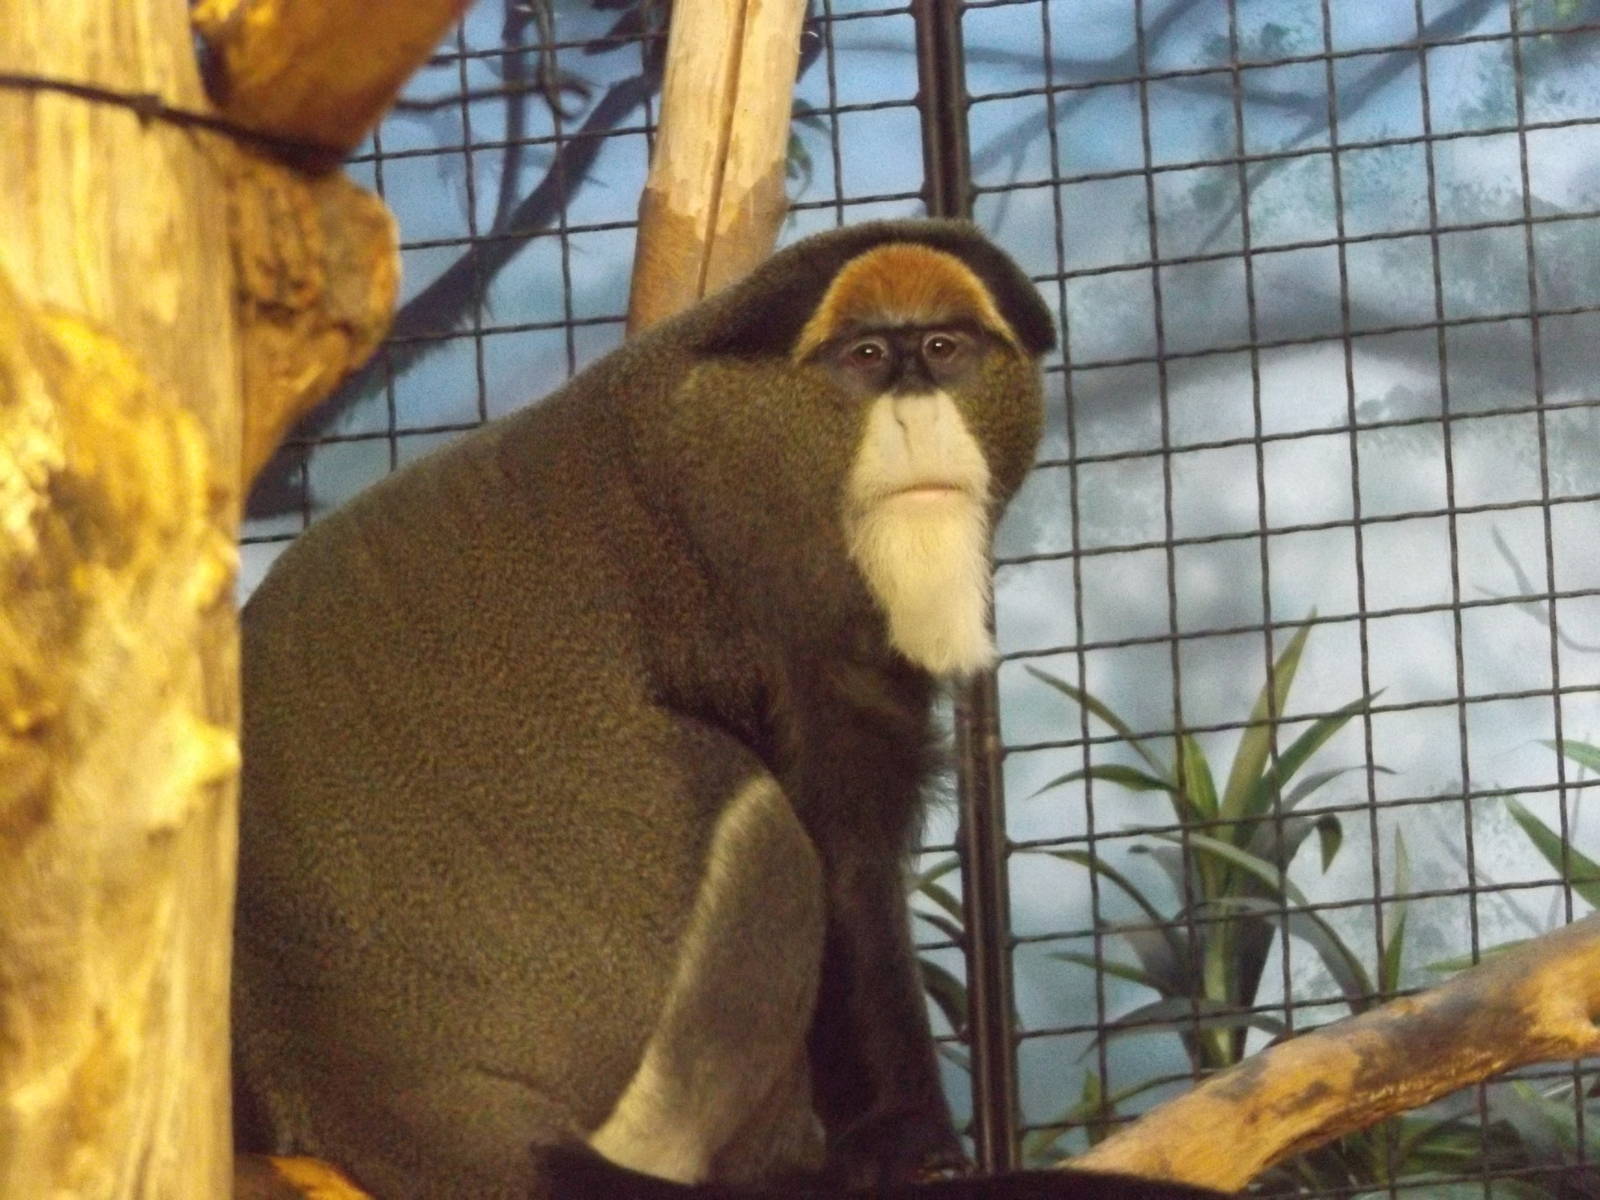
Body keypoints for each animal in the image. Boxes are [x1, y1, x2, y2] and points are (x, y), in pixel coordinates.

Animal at [233, 219, 1229, 1200]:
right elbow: (841, 857)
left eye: (944, 350)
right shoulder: (785, 601)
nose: (916, 410)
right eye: (868, 356)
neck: (703, 428)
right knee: (759, 823)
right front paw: (914, 1145)